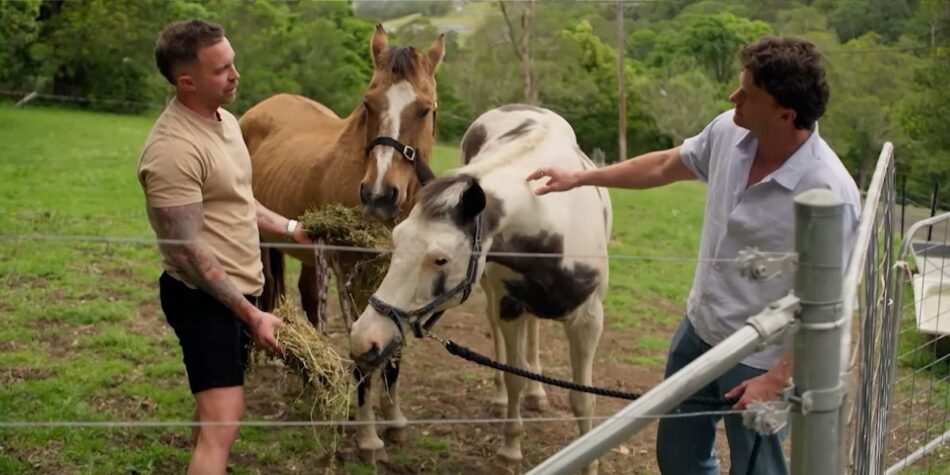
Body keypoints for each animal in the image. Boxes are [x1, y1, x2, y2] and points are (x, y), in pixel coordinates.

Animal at [349, 104, 613, 474]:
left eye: (441, 259)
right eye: (397, 239)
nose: (363, 339)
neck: (551, 226)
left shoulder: (588, 321)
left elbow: (583, 397)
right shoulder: (509, 306)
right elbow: (514, 376)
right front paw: (510, 449)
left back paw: (537, 393)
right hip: (492, 293)